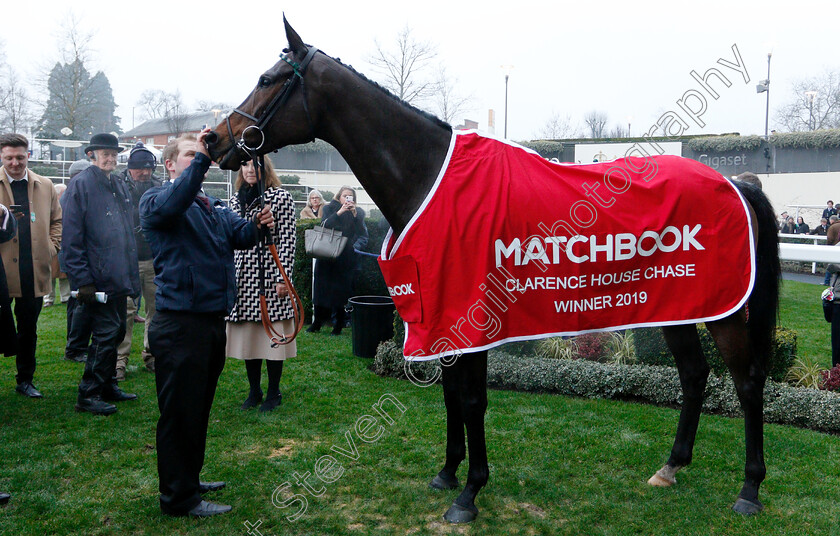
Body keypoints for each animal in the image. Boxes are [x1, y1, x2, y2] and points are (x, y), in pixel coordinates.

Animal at [208, 17, 780, 524]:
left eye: (268, 79)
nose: (213, 139)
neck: (431, 180)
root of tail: (736, 183)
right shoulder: (441, 317)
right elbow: (450, 396)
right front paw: (448, 472)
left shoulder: (473, 319)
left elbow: (471, 399)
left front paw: (469, 493)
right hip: (678, 306)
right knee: (695, 374)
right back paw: (671, 467)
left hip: (724, 312)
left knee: (748, 382)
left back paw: (750, 489)